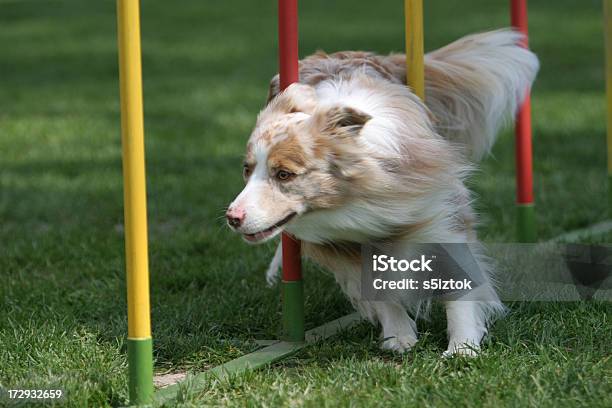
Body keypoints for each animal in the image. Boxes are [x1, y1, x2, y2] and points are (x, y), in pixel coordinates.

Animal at [227, 29, 536, 354]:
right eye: (247, 170)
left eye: (284, 174)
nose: (232, 217)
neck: (355, 199)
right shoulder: (342, 245)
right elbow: (375, 290)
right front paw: (398, 335)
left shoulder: (442, 213)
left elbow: (458, 281)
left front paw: (462, 346)